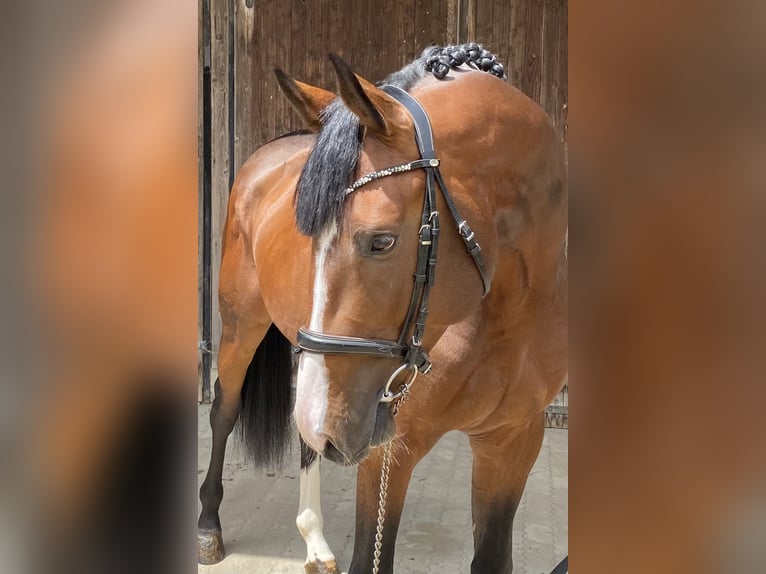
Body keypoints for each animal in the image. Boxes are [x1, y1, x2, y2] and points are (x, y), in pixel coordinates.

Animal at [197, 44, 567, 574]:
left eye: (381, 241)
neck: (506, 317)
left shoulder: (513, 440)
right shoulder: (390, 451)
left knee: (306, 436)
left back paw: (315, 540)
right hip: (243, 330)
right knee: (227, 411)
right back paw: (209, 525)